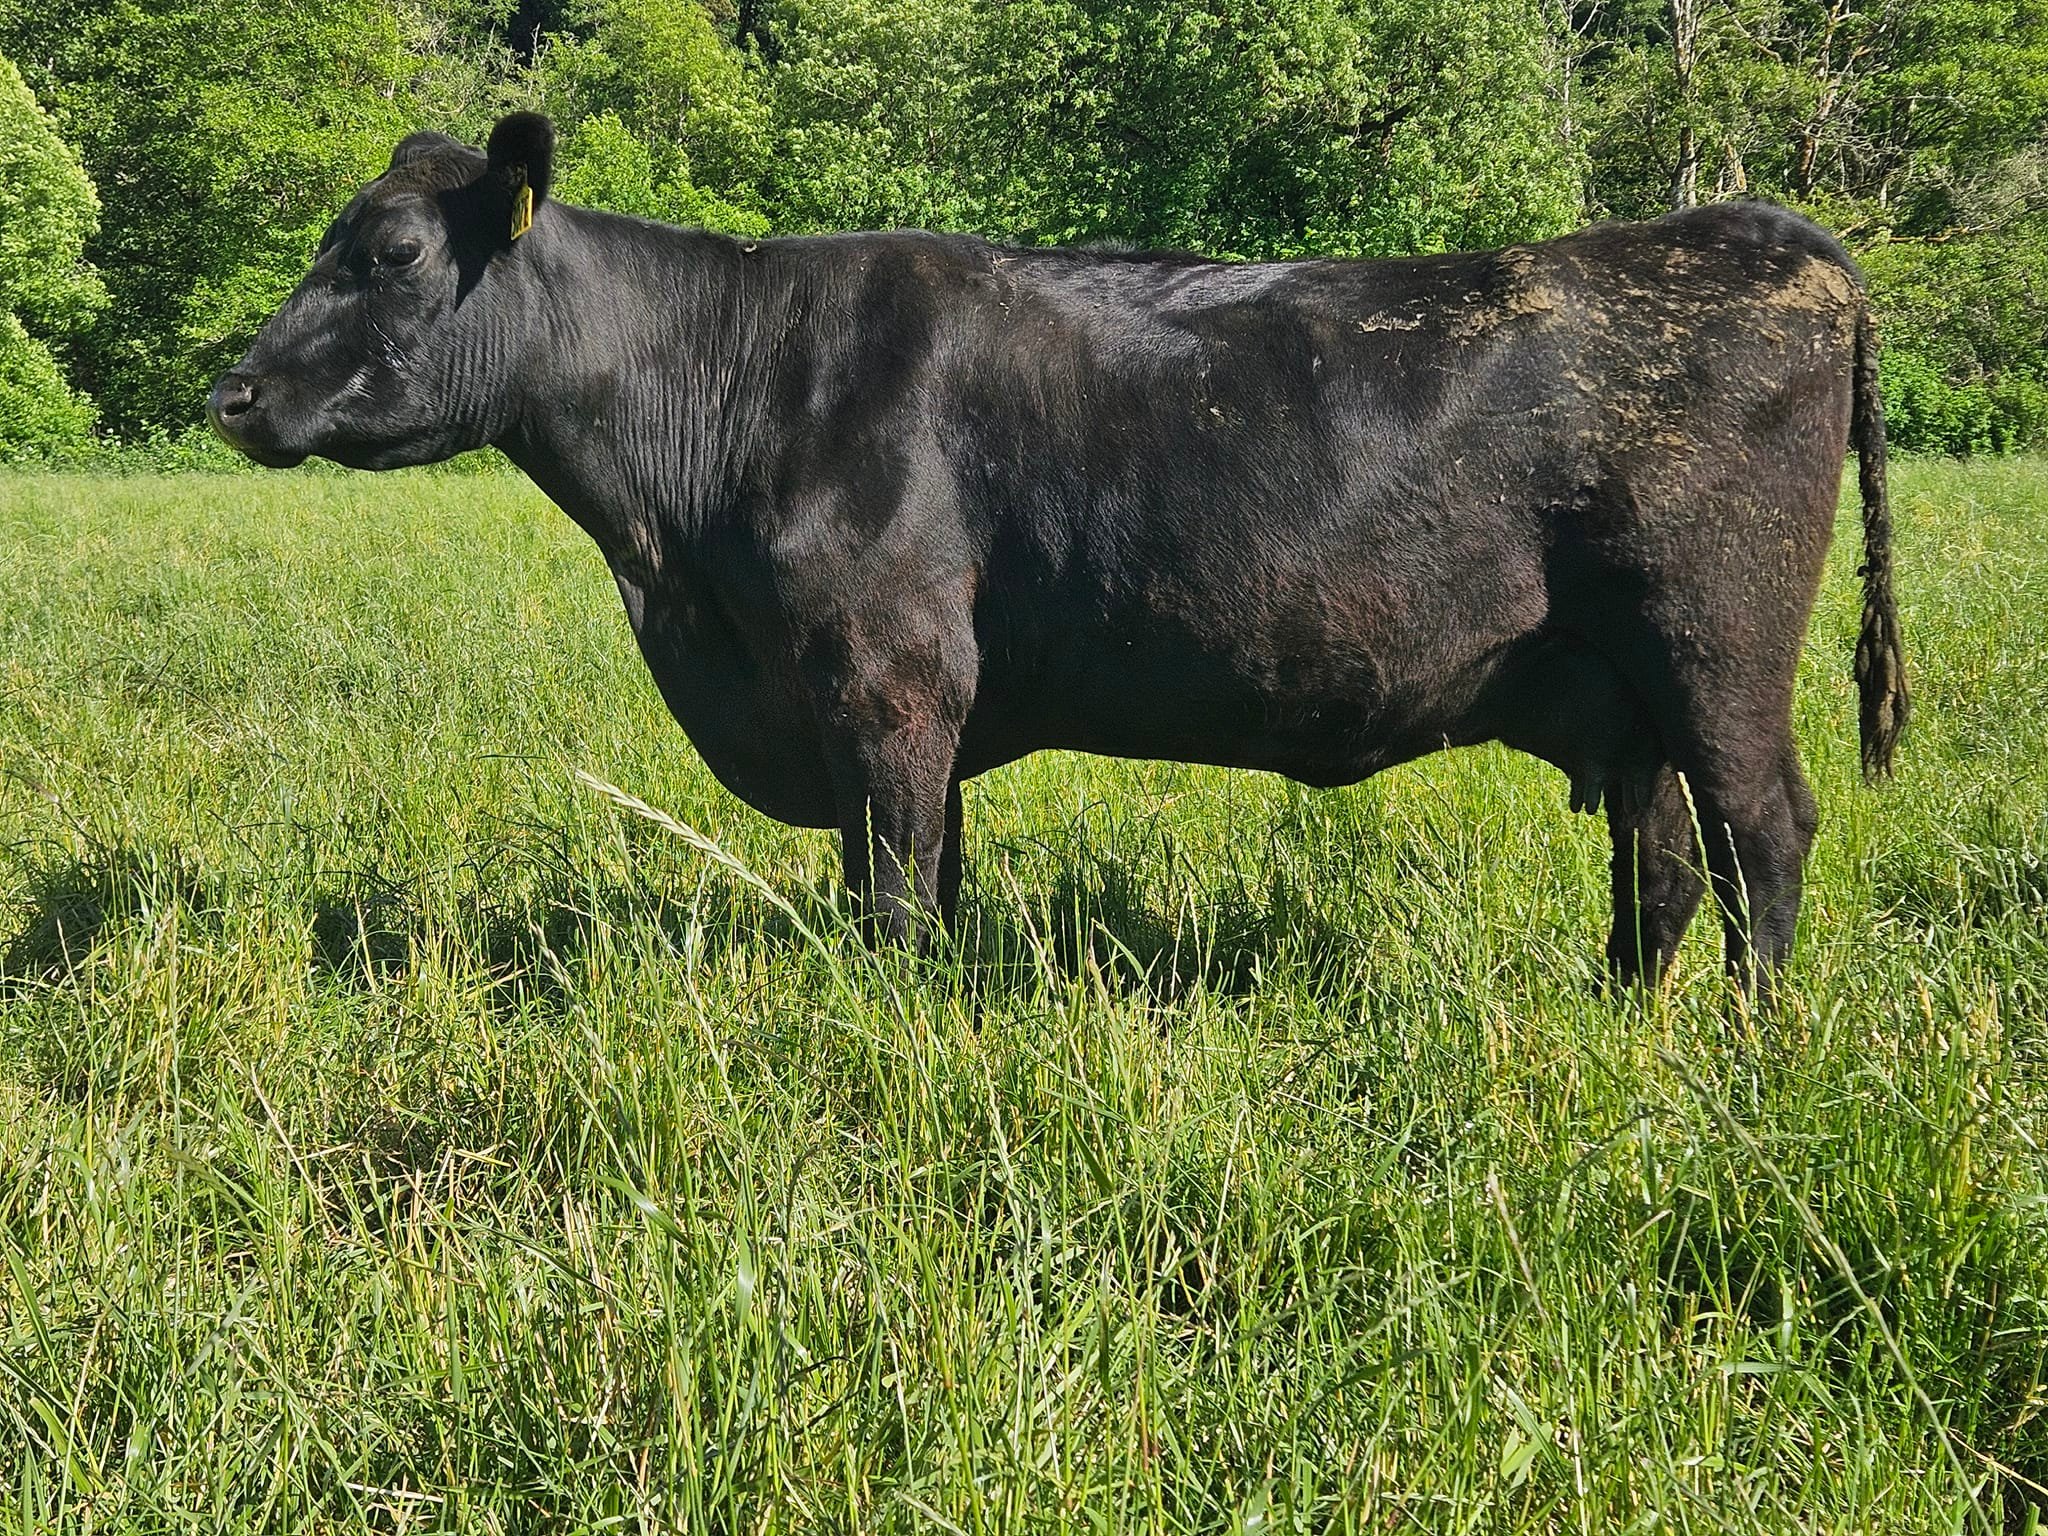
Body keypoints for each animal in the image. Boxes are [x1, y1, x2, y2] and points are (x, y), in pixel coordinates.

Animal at [208, 112, 1907, 992]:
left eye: (390, 251)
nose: (229, 390)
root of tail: (1768, 235)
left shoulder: (887, 674)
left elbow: (892, 892)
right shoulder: (894, 701)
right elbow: (922, 875)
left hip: (1716, 643)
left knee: (1762, 832)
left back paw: (1745, 1041)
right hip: (1625, 687)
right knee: (1661, 857)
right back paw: (1622, 1013)